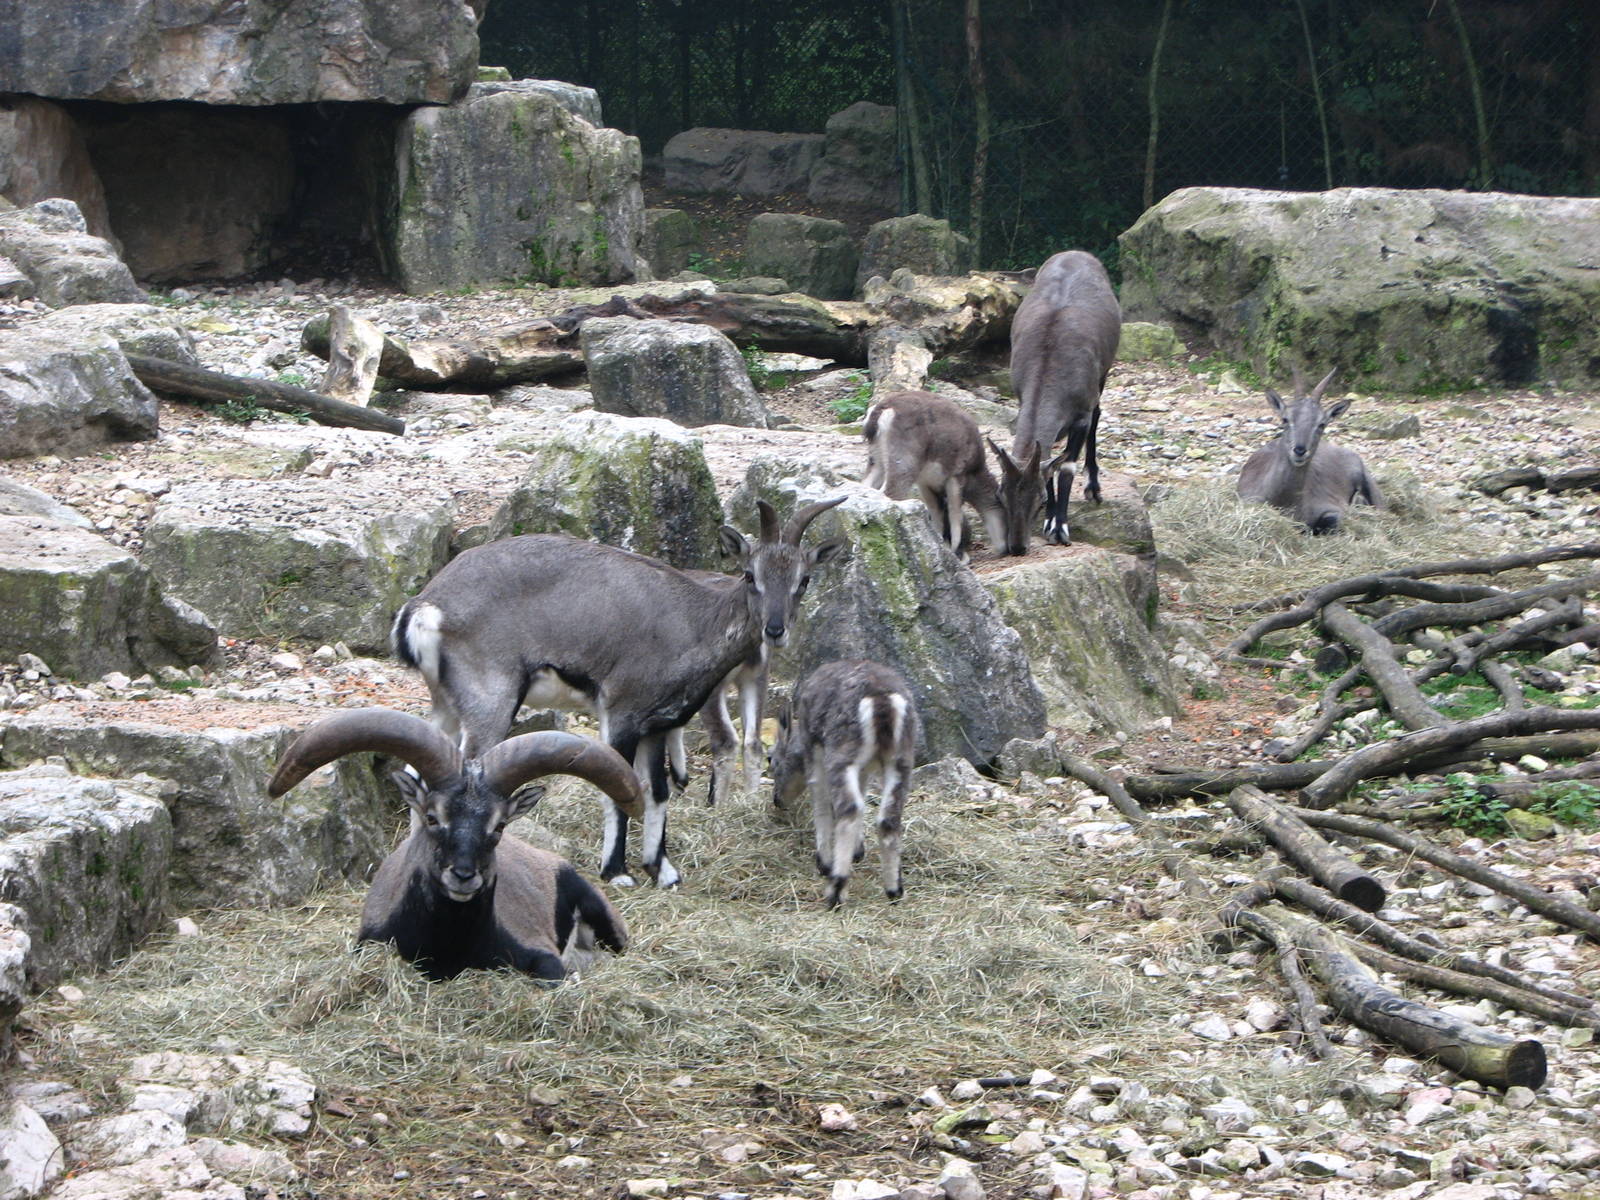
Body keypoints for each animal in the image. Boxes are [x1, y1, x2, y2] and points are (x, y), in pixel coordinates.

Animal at [268, 708, 640, 981]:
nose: (463, 876)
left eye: (499, 825)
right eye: (432, 817)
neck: (450, 946)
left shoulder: (539, 951)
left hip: (596, 907)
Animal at [768, 659, 919, 909]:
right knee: (888, 817)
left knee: (849, 808)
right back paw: (894, 889)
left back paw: (836, 889)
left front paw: (823, 861)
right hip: (901, 759)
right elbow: (864, 793)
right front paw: (858, 851)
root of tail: (882, 701)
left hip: (841, 753)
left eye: (770, 759)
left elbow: (820, 801)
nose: (777, 799)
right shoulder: (865, 769)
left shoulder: (815, 751)